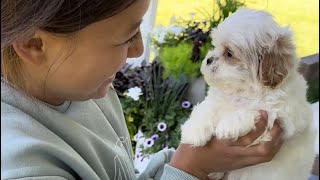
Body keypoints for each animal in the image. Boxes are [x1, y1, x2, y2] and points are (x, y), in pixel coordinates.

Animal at [181, 7, 316, 179]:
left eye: (229, 53)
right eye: (215, 46)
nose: (208, 60)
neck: (243, 90)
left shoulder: (283, 117)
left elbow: (255, 109)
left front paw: (229, 125)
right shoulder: (216, 99)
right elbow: (206, 108)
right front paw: (194, 131)